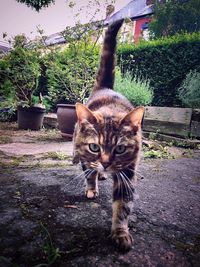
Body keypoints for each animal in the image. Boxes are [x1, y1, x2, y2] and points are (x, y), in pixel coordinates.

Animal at [72, 19, 145, 252]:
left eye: (120, 148)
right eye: (94, 147)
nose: (105, 163)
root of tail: (105, 87)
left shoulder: (128, 172)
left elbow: (122, 206)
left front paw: (120, 233)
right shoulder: (86, 156)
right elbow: (89, 174)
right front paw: (91, 188)